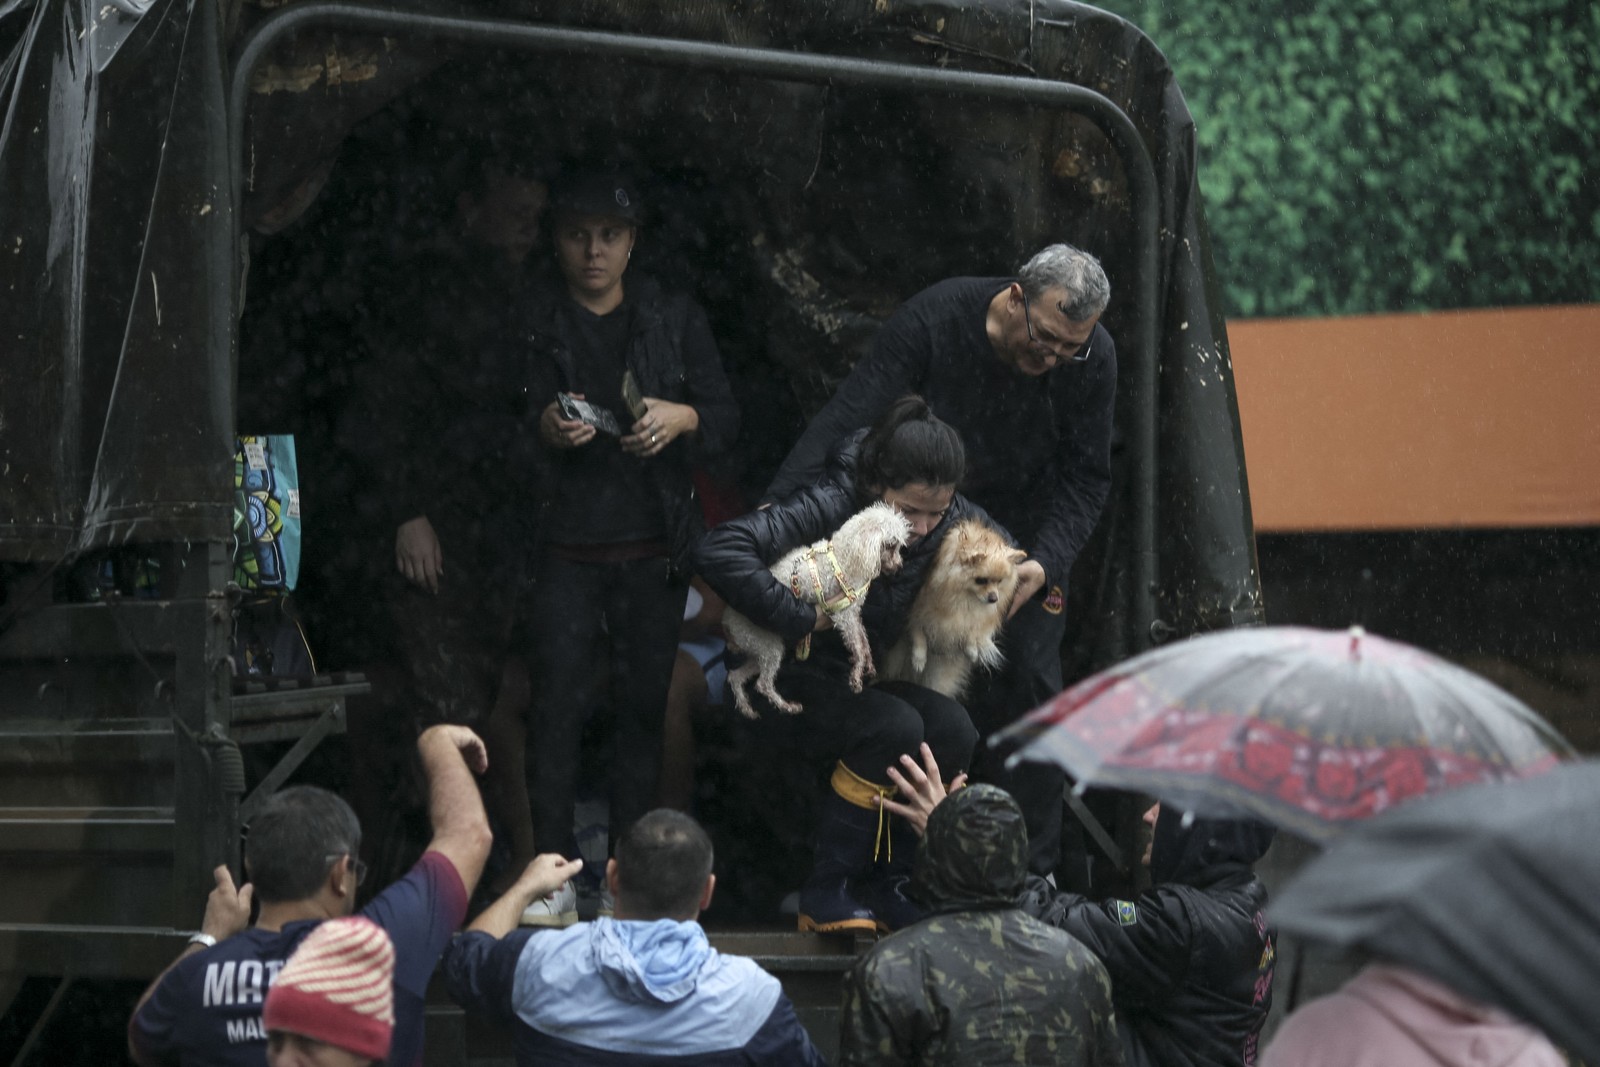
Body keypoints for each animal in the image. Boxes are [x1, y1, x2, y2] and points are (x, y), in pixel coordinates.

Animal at [726, 505, 915, 723]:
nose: (899, 569)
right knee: (763, 684)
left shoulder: (853, 614)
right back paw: (787, 707)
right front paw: (856, 677)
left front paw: (867, 664)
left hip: (759, 649)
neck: (844, 557)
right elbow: (858, 647)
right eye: (891, 546)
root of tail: (727, 622)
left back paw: (747, 710)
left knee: (735, 676)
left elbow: (863, 640)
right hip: (768, 646)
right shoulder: (843, 615)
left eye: (897, 546)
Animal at [876, 518, 1024, 700]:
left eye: (999, 581)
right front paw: (919, 657)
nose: (993, 598)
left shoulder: (974, 618)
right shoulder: (917, 610)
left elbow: (972, 630)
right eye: (981, 580)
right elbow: (918, 631)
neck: (964, 598)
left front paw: (972, 649)